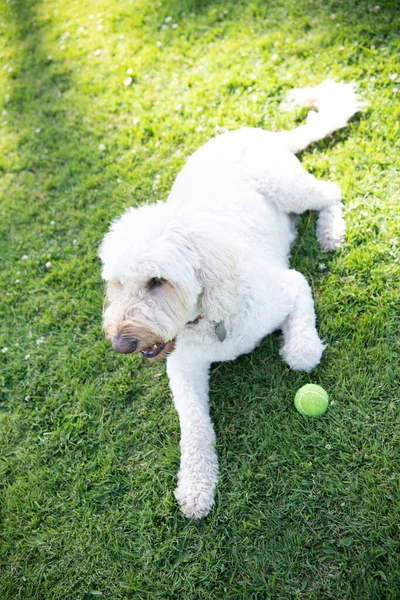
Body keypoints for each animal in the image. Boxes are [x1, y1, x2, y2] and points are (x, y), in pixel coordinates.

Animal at [99, 79, 360, 520]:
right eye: (116, 283)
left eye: (157, 281)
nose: (121, 344)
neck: (208, 318)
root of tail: (257, 132)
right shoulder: (182, 368)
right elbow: (194, 426)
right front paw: (196, 484)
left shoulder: (290, 285)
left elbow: (303, 350)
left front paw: (300, 346)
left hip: (288, 187)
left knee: (330, 192)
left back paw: (331, 231)